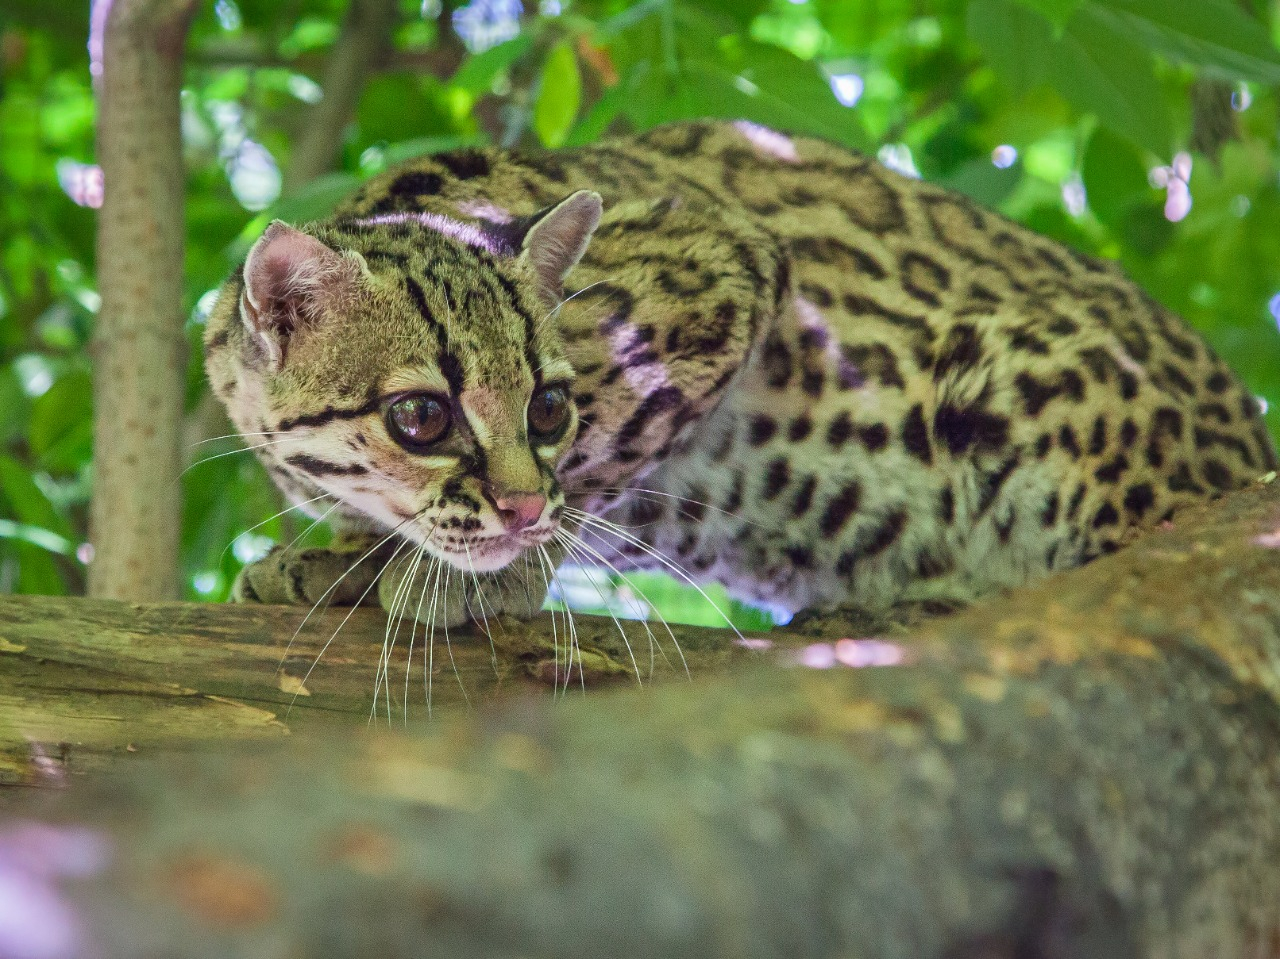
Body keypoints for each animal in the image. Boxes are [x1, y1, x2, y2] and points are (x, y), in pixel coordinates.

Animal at [202, 119, 1280, 627]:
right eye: (421, 417)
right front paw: (342, 554)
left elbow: (601, 460)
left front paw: (480, 571)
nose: (520, 509)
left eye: (549, 407)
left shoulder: (722, 262)